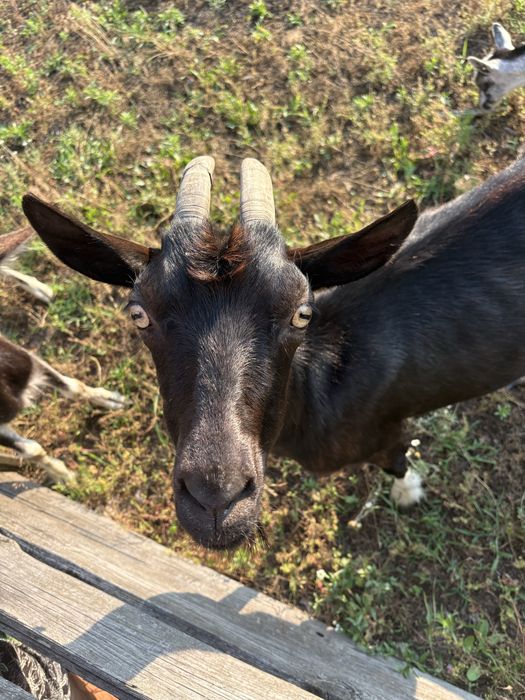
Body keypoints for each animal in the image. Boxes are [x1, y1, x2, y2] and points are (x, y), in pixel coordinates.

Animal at [0, 227, 127, 482]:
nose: (22, 369)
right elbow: (32, 450)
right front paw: (66, 476)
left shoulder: (29, 357)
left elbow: (72, 386)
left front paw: (109, 399)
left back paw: (41, 289)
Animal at [21, 155, 525, 548]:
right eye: (139, 314)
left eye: (302, 313)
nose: (216, 498)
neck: (323, 378)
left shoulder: (382, 433)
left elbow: (397, 461)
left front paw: (409, 493)